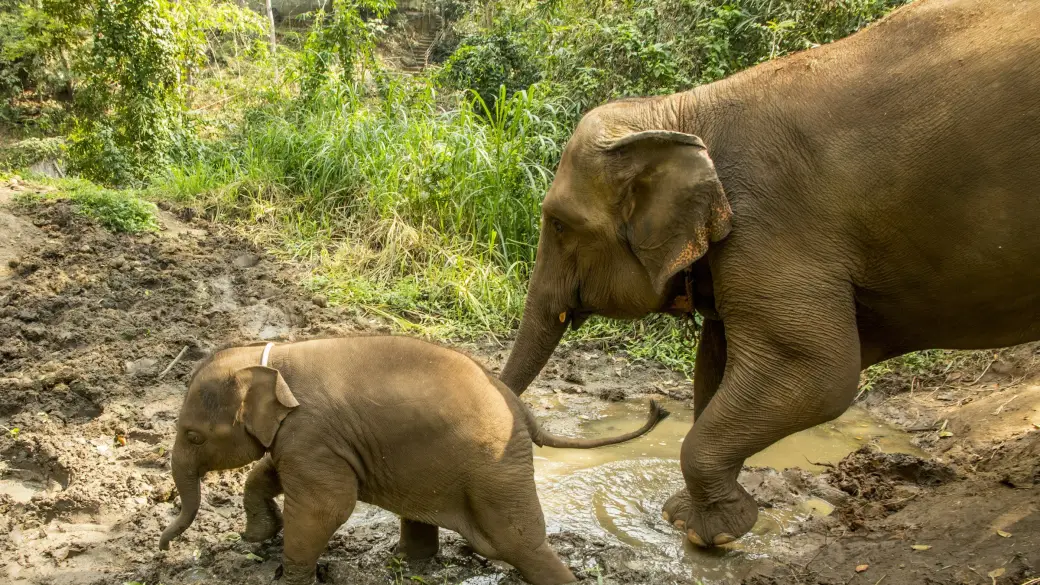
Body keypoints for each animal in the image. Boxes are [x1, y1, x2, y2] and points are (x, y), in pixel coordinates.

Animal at [157, 336, 669, 585]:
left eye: (192, 435)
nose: (162, 549)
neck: (268, 356)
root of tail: (521, 408)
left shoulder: (312, 433)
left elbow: (329, 504)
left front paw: (290, 578)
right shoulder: (303, 439)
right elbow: (270, 472)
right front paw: (258, 537)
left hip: (496, 470)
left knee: (521, 542)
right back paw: (407, 561)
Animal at [498, 0, 1040, 550]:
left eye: (558, 224)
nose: (655, 408)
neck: (681, 111)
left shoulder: (772, 221)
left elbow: (814, 371)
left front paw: (710, 534)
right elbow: (715, 364)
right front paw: (685, 518)